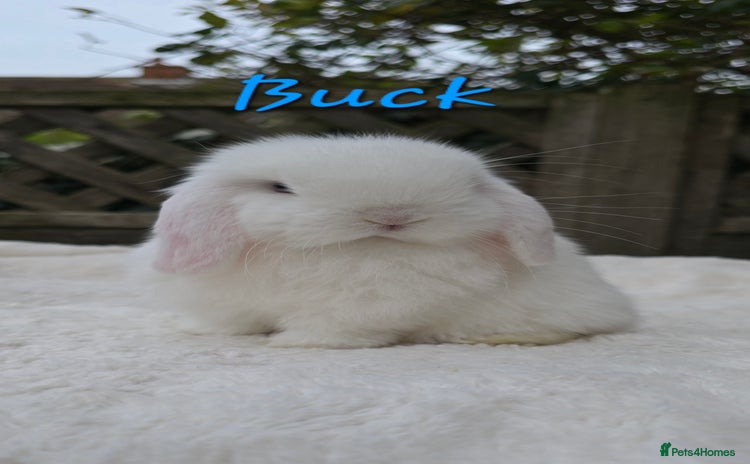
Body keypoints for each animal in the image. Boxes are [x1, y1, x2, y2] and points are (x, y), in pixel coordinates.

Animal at [132, 134, 637, 348]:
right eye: (279, 189)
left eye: (470, 189)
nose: (391, 216)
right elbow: (231, 325)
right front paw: (201, 331)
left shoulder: (355, 312)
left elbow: (333, 331)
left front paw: (295, 344)